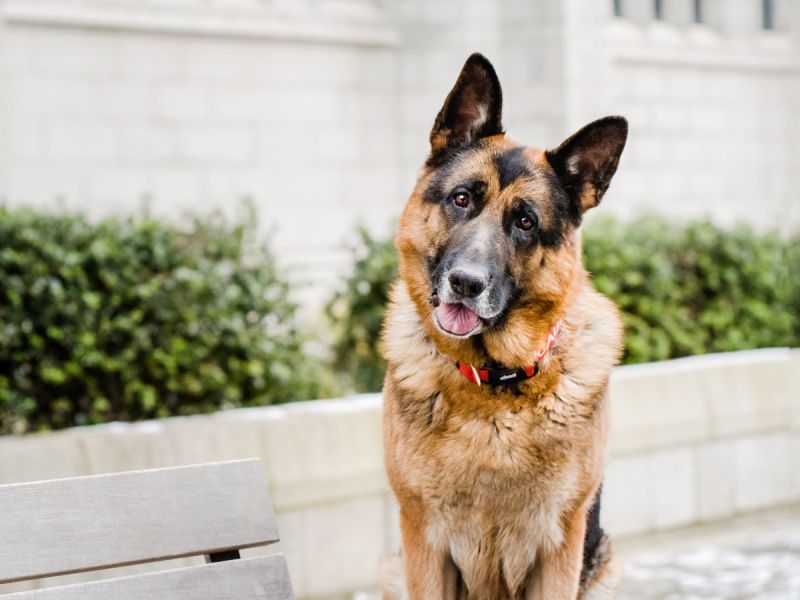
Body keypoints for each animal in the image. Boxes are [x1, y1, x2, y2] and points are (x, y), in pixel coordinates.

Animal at [384, 54, 628, 596]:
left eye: (525, 222)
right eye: (461, 199)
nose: (465, 283)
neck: (494, 384)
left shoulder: (561, 547)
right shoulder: (423, 545)